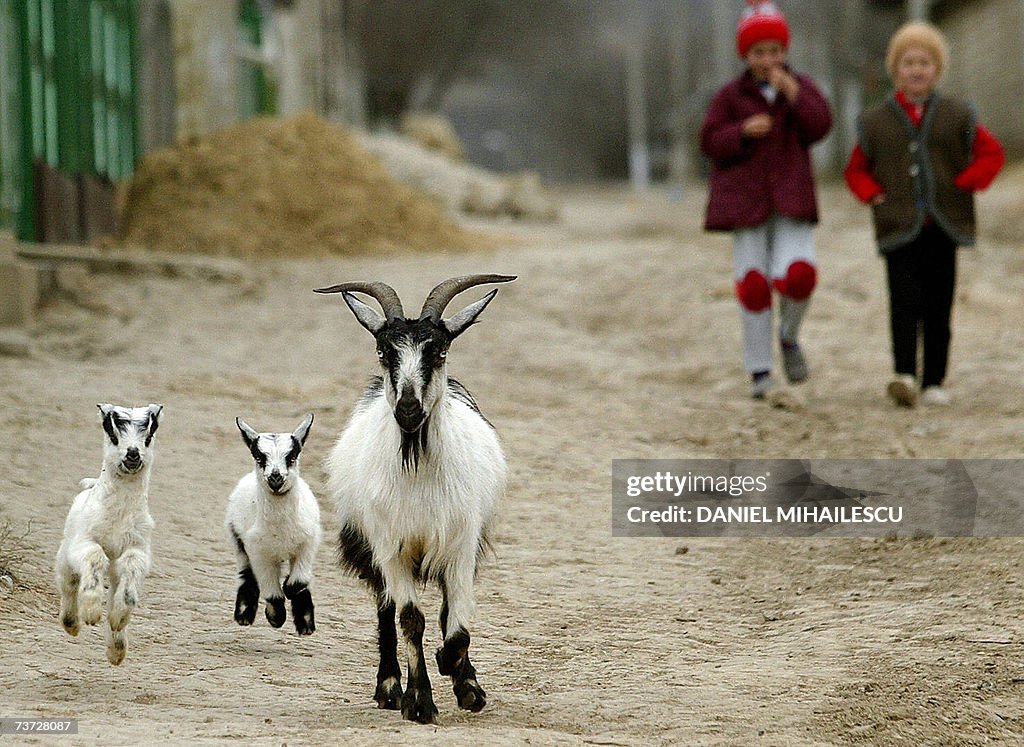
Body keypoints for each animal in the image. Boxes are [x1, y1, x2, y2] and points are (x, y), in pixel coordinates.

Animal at [55, 401, 162, 664]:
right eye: (113, 435)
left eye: (148, 436)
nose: (132, 454)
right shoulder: (83, 542)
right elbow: (95, 557)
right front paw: (92, 614)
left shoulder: (138, 547)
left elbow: (130, 573)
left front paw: (118, 618)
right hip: (65, 555)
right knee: (68, 584)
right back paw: (72, 624)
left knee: (113, 589)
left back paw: (116, 651)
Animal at [226, 413, 321, 635]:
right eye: (260, 458)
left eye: (292, 458)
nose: (275, 478)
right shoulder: (259, 551)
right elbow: (272, 591)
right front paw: (276, 617)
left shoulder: (308, 542)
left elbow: (298, 582)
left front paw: (302, 617)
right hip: (236, 538)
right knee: (246, 573)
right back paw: (244, 615)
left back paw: (305, 624)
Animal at [313, 274, 512, 721]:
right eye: (384, 351)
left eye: (438, 350)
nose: (407, 408)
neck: (416, 466)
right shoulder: (391, 547)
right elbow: (410, 620)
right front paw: (419, 702)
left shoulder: (460, 544)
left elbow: (456, 625)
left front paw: (463, 682)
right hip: (370, 546)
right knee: (387, 609)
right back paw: (389, 688)